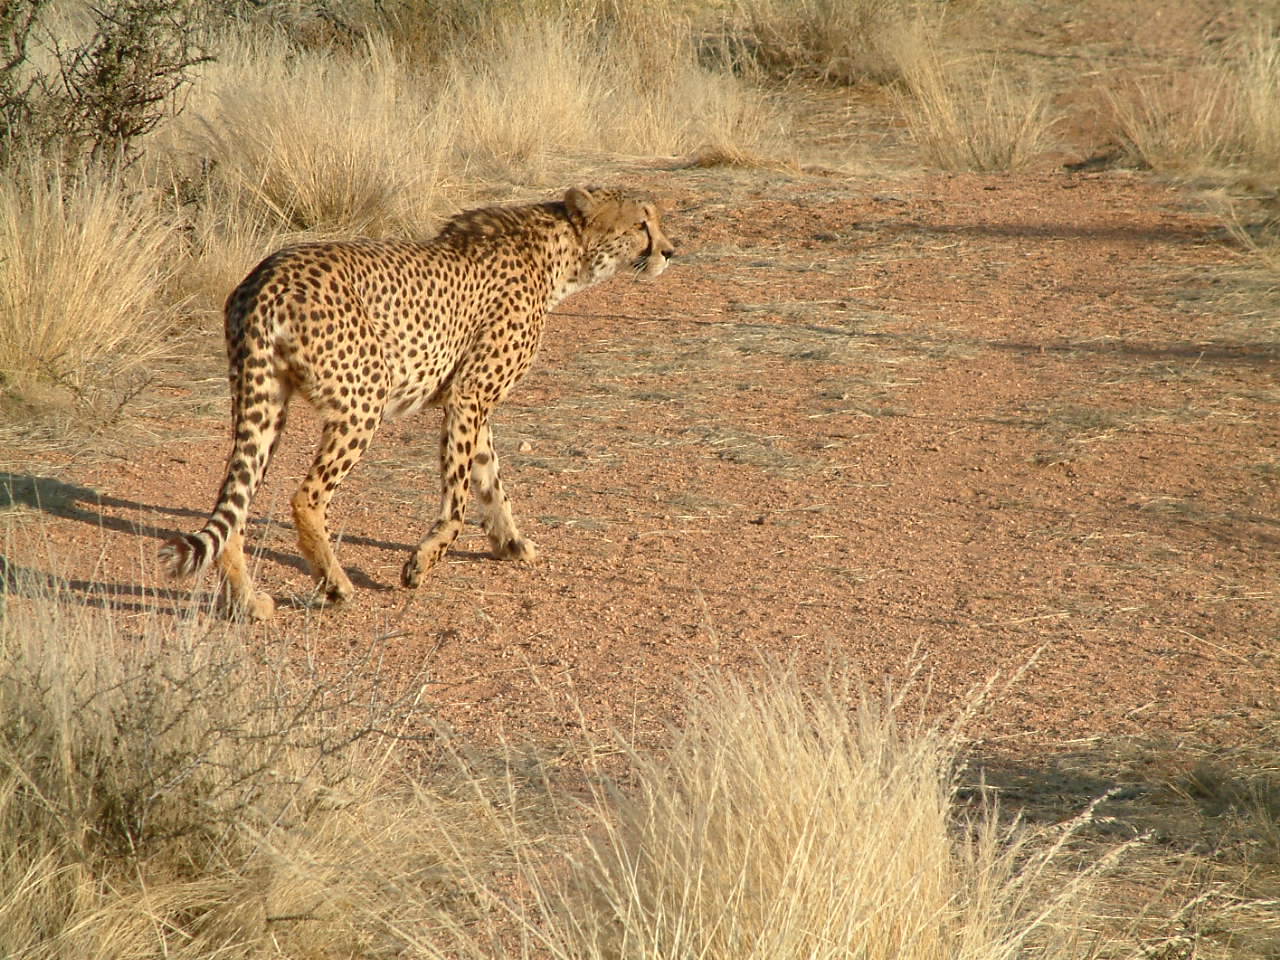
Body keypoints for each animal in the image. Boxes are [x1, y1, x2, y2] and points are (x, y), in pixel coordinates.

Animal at [161, 188, 675, 624]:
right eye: (642, 223)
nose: (670, 252)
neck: (561, 253)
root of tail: (267, 276)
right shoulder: (470, 396)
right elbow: (459, 499)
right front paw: (422, 563)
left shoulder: (473, 402)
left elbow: (491, 481)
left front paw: (511, 543)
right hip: (364, 397)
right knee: (306, 497)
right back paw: (335, 585)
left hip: (264, 401)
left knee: (235, 507)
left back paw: (249, 603)